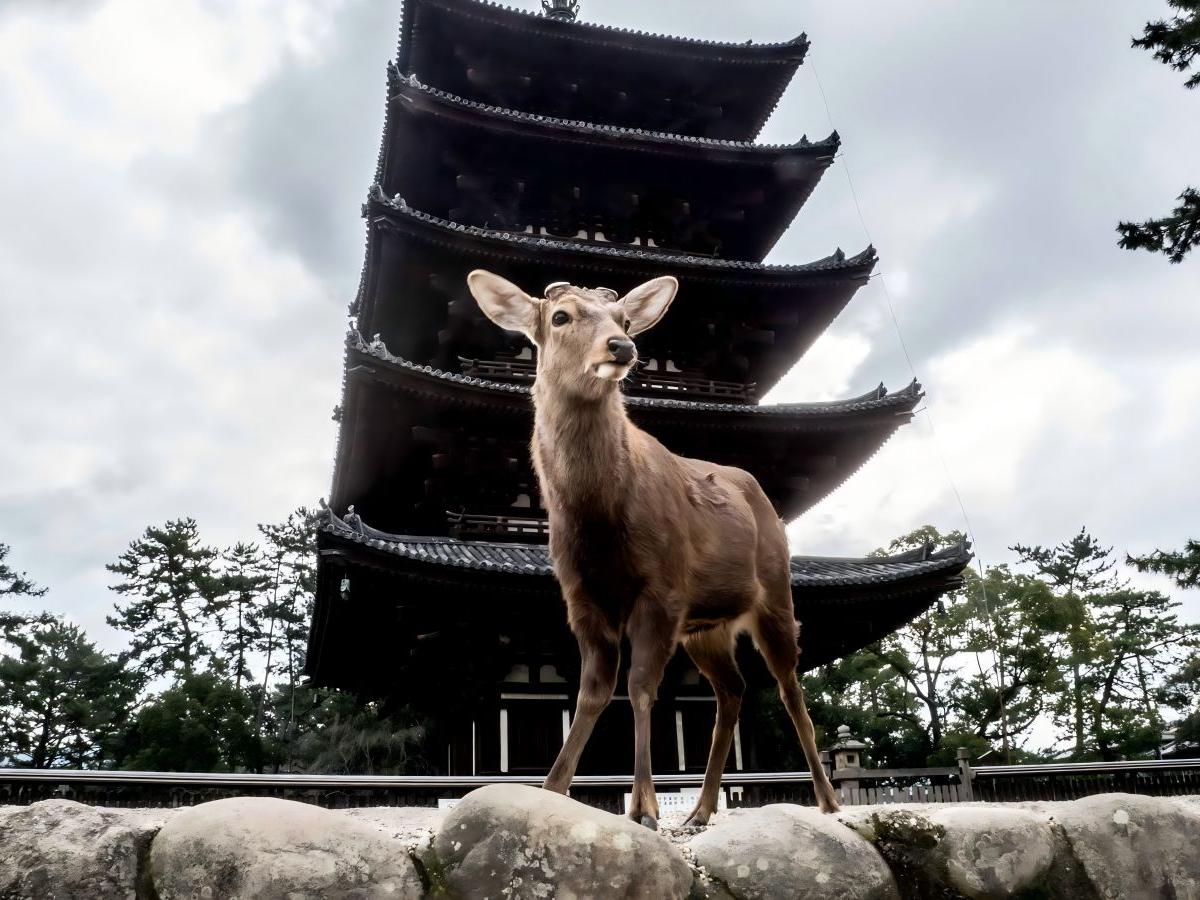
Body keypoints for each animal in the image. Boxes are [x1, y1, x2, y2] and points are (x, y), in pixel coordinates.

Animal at [466, 269, 841, 829]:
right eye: (561, 316)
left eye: (623, 319)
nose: (621, 346)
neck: (598, 520)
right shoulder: (580, 596)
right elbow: (593, 691)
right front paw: (551, 789)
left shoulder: (662, 587)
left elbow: (640, 686)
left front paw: (643, 806)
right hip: (705, 627)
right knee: (732, 690)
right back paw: (702, 810)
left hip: (774, 592)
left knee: (790, 689)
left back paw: (827, 799)